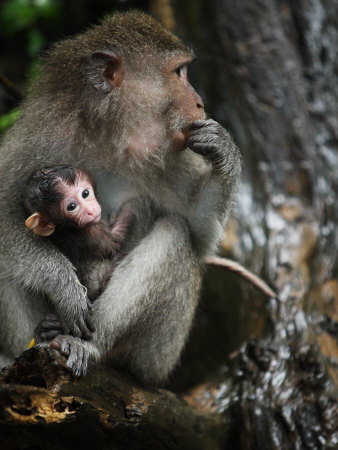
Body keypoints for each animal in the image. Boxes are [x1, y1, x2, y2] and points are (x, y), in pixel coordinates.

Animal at [0, 11, 240, 384]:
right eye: (179, 73)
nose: (200, 102)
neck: (109, 132)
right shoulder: (41, 134)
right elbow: (4, 212)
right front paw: (62, 283)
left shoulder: (172, 154)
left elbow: (200, 238)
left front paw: (224, 150)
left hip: (156, 356)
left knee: (174, 233)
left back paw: (89, 345)